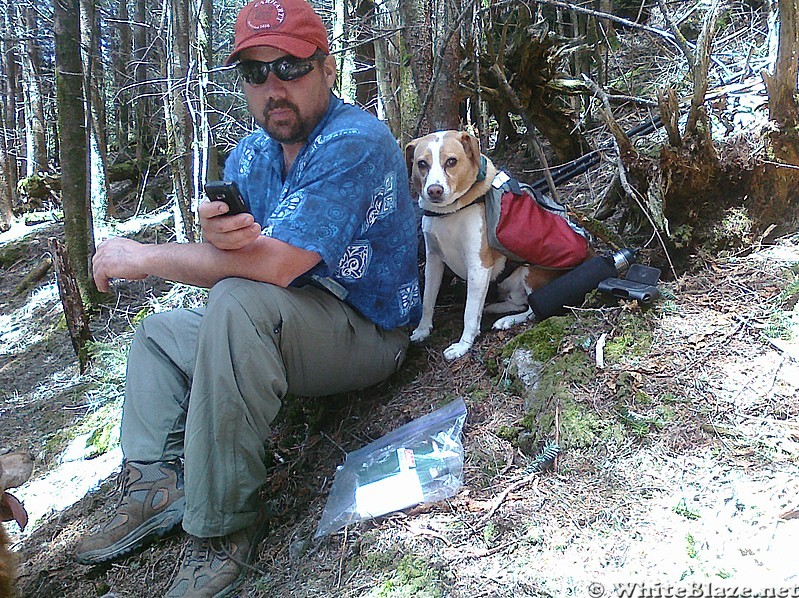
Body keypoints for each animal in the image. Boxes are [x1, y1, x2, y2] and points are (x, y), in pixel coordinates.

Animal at [410, 131, 572, 360]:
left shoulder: (478, 266)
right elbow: (427, 300)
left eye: (451, 161)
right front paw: (423, 329)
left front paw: (463, 345)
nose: (434, 190)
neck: (449, 213)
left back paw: (507, 320)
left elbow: (469, 313)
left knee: (533, 307)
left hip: (532, 272)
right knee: (518, 302)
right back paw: (494, 308)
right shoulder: (433, 260)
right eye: (422, 164)